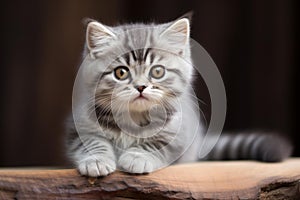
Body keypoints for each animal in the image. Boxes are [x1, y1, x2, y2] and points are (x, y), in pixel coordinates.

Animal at [65, 16, 290, 177]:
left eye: (157, 71)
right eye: (121, 73)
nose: (140, 87)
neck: (134, 118)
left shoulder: (179, 133)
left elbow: (158, 144)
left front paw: (137, 157)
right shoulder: (78, 123)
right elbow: (90, 141)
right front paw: (96, 161)